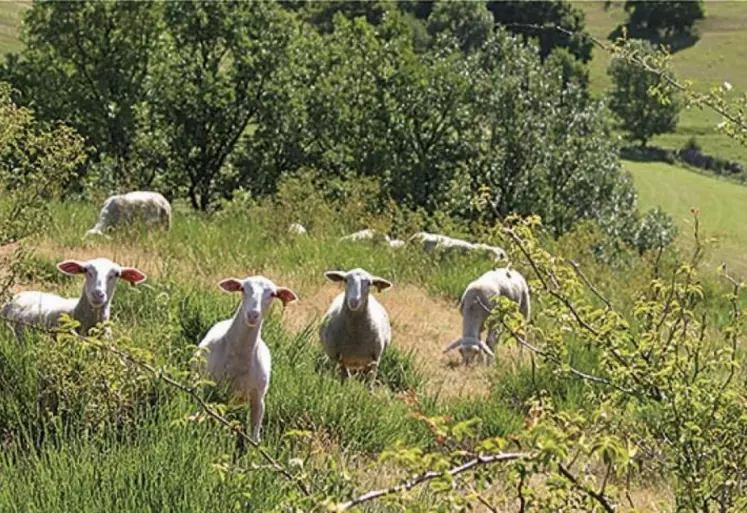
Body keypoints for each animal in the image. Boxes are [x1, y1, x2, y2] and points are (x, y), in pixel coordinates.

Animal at [197, 276, 300, 440]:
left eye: (272, 294)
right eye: (242, 288)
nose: (253, 314)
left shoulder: (259, 399)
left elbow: (254, 437)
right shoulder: (208, 389)